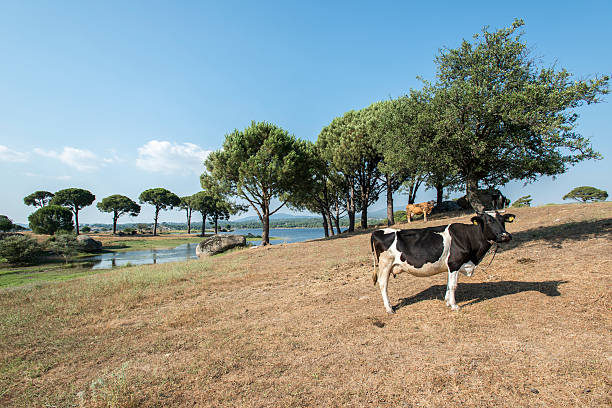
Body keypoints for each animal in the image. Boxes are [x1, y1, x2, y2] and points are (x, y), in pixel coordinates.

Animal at [370, 210, 512, 312]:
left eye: (503, 220)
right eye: (489, 221)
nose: (505, 236)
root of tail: (377, 231)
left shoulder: (451, 266)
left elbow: (449, 284)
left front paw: (448, 302)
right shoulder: (454, 263)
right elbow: (453, 285)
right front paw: (454, 306)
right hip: (385, 264)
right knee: (383, 284)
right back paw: (389, 308)